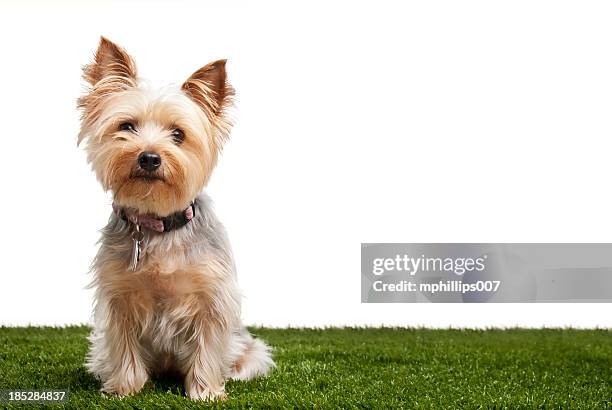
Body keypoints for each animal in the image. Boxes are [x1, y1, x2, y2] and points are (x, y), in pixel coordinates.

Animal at [77, 36, 274, 398]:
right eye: (126, 126)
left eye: (179, 134)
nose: (149, 157)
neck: (158, 226)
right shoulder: (118, 296)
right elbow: (124, 346)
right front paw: (125, 387)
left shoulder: (211, 297)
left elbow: (208, 345)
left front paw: (206, 392)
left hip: (250, 348)